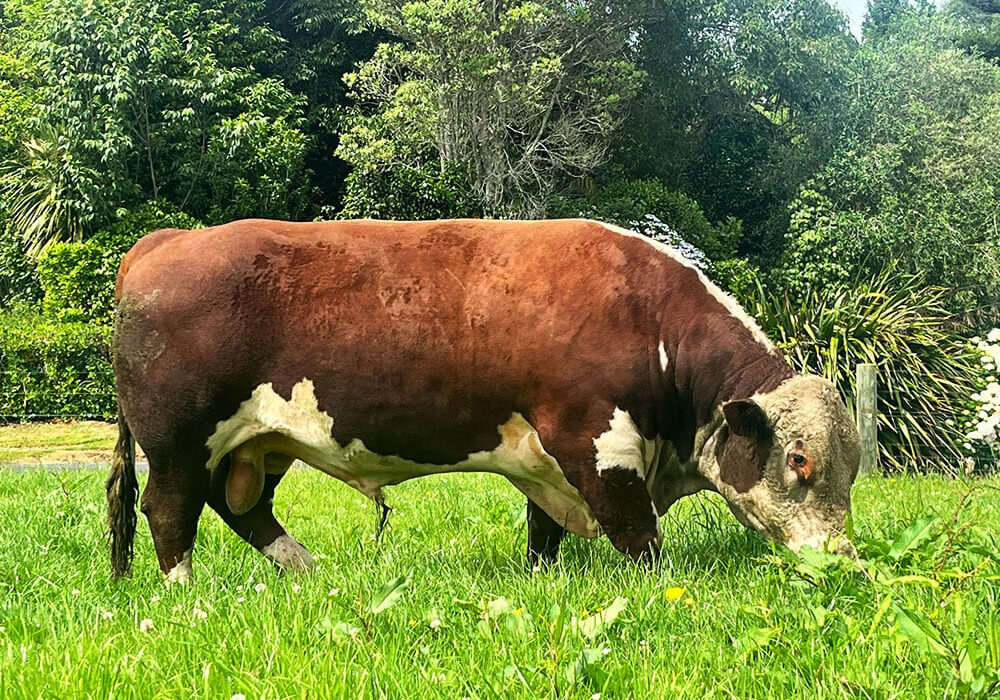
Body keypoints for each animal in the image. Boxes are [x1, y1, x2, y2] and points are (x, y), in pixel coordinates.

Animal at [106, 218, 860, 583]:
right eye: (799, 461)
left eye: (853, 469)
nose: (844, 561)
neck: (655, 329)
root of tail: (171, 239)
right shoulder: (597, 444)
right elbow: (641, 540)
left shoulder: (548, 460)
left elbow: (544, 533)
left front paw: (540, 580)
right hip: (178, 439)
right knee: (169, 511)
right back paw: (186, 594)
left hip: (262, 441)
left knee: (240, 507)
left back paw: (307, 572)